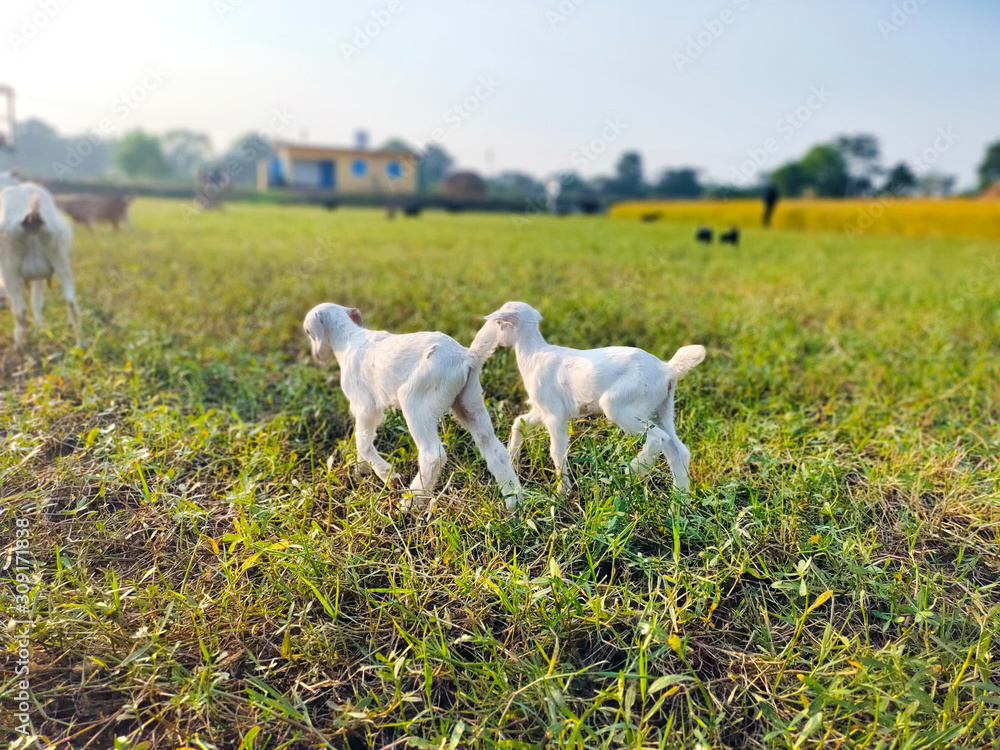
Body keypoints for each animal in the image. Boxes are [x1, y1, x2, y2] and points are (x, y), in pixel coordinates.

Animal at [0, 183, 81, 347]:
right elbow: (37, 302)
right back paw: (81, 345)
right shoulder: (40, 276)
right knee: (71, 303)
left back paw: (19, 348)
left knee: (21, 309)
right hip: (60, 259)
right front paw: (41, 330)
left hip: (9, 266)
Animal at [303, 303, 522, 511]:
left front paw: (389, 477)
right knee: (493, 449)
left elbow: (363, 442)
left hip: (416, 401)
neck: (348, 339)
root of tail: (467, 357)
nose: (316, 356)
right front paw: (361, 471)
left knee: (433, 455)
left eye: (308, 332)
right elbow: (361, 440)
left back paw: (408, 504)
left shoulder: (365, 405)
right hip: (469, 401)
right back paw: (514, 503)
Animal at [474, 302, 705, 494]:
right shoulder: (542, 410)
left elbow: (556, 451)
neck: (533, 356)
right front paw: (512, 459)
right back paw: (679, 502)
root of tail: (667, 369)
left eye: (498, 322)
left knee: (658, 438)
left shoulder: (555, 415)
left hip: (622, 406)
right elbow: (518, 423)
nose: (484, 340)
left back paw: (633, 470)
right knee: (678, 451)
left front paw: (562, 492)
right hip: (661, 410)